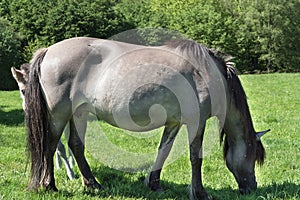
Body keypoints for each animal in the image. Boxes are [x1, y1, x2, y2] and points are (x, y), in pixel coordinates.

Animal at [12, 37, 270, 198]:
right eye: (253, 156)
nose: (252, 188)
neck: (207, 71)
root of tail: (48, 51)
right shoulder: (196, 122)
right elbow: (195, 157)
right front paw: (200, 193)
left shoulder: (174, 122)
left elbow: (163, 151)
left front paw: (154, 184)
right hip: (59, 113)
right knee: (49, 145)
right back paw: (49, 185)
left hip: (79, 113)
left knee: (76, 145)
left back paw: (92, 184)